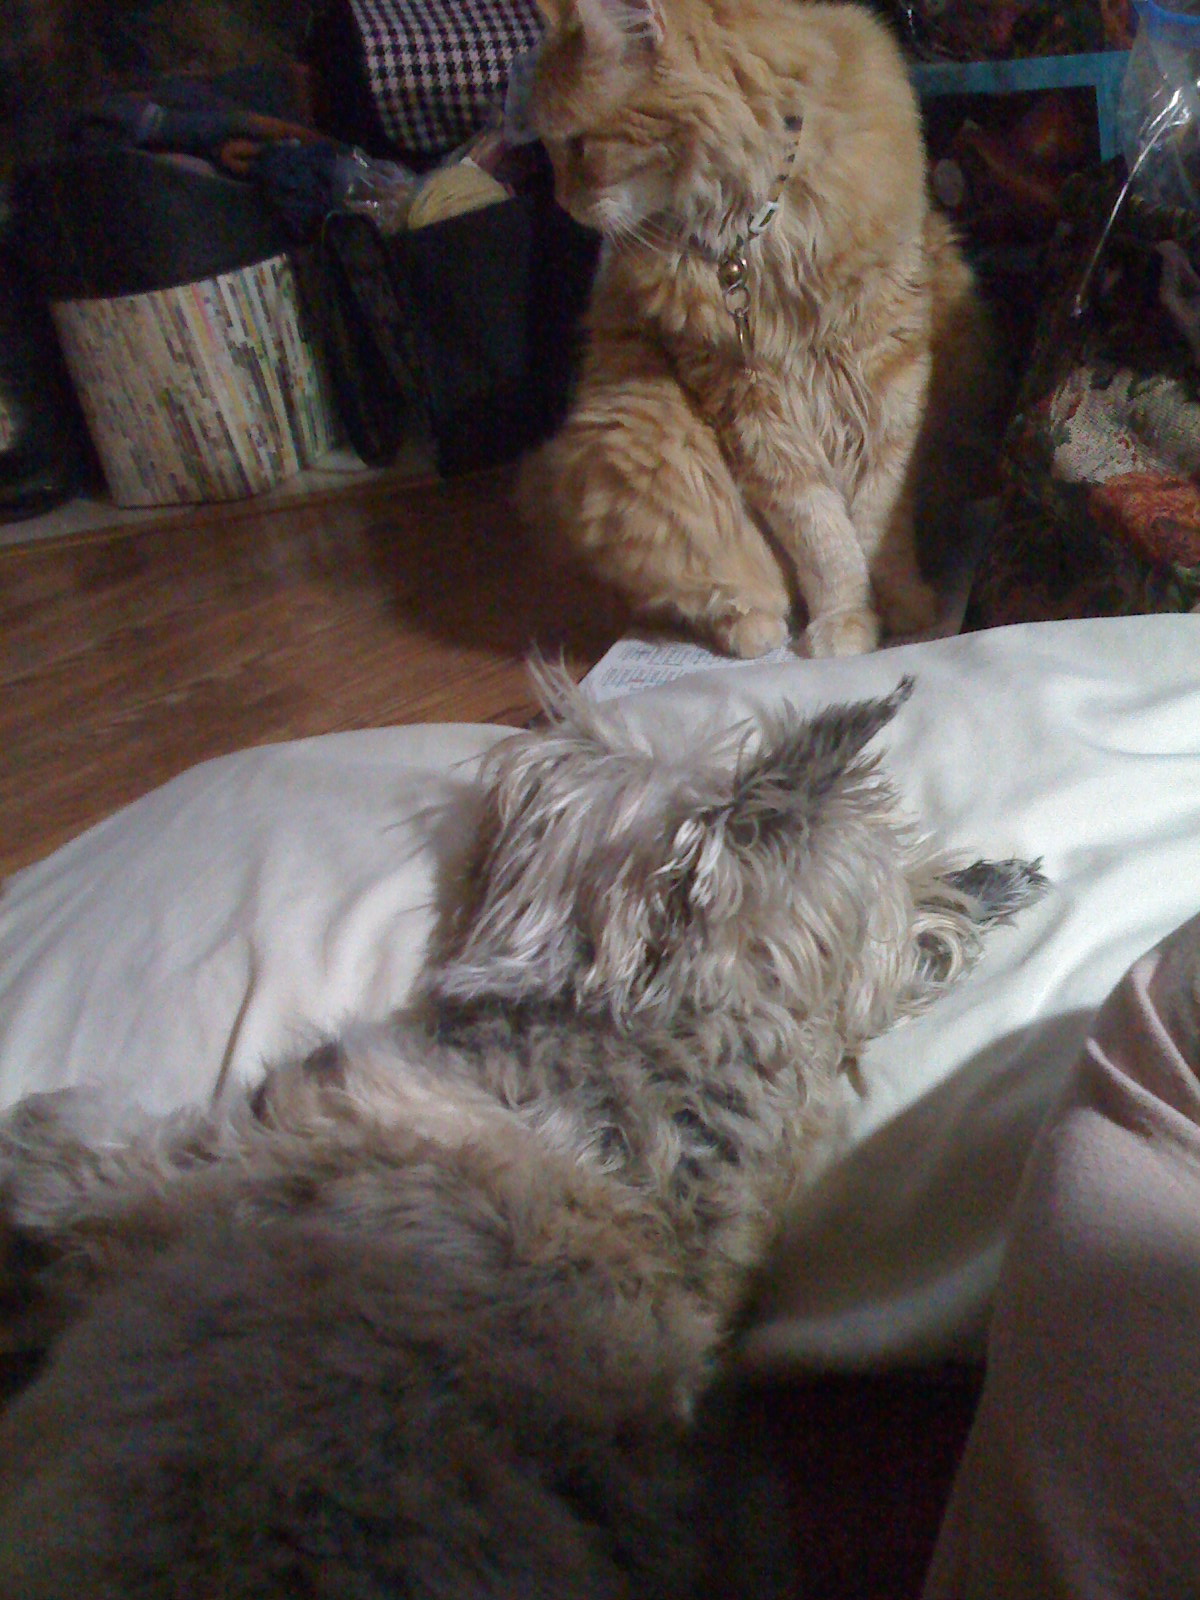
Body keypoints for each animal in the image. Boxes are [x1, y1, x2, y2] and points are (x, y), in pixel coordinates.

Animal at [515, 0, 994, 659]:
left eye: (579, 146)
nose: (563, 204)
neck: (756, 235)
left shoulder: (891, 371)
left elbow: (878, 518)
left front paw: (908, 614)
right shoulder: (747, 404)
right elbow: (820, 533)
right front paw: (847, 620)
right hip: (632, 437)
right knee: (714, 586)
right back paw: (757, 630)